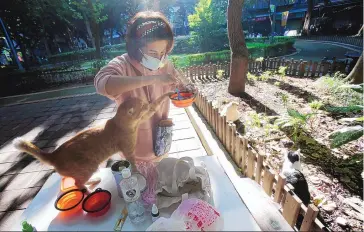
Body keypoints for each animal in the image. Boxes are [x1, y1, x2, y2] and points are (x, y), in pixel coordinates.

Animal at [13, 91, 173, 191]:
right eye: (143, 105)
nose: (147, 103)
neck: (120, 123)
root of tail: (54, 154)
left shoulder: (147, 114)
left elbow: (158, 102)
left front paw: (169, 93)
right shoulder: (128, 151)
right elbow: (133, 164)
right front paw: (138, 172)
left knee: (77, 181)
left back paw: (93, 181)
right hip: (88, 167)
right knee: (78, 183)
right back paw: (88, 191)